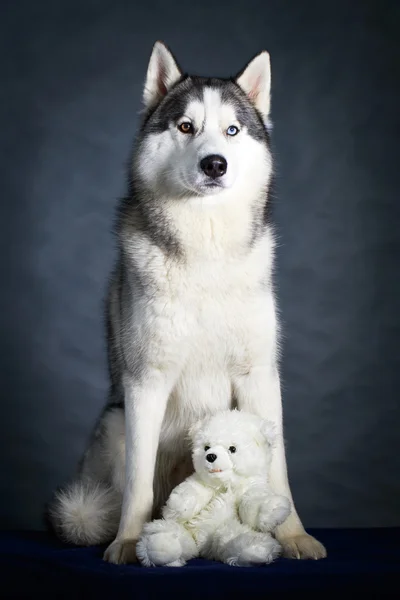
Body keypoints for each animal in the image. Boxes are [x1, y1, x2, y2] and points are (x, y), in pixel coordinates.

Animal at [49, 41, 324, 564]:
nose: (214, 163)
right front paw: (129, 541)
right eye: (185, 127)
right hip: (114, 423)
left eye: (232, 130)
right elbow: (138, 481)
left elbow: (276, 470)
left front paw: (293, 535)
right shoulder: (146, 381)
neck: (206, 250)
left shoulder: (259, 375)